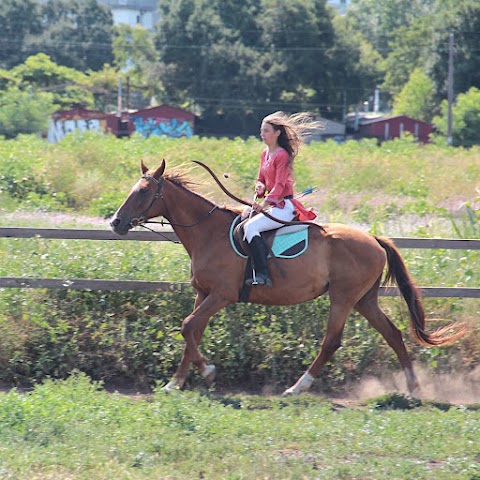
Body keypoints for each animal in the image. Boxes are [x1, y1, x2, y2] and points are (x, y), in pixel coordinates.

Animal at [111, 161, 464, 398]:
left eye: (143, 192)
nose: (115, 222)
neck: (207, 233)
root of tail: (374, 239)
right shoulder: (203, 294)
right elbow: (191, 332)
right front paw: (175, 383)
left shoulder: (222, 295)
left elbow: (187, 326)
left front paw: (208, 372)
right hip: (365, 300)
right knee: (393, 334)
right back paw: (413, 386)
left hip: (343, 298)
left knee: (331, 341)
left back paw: (297, 387)